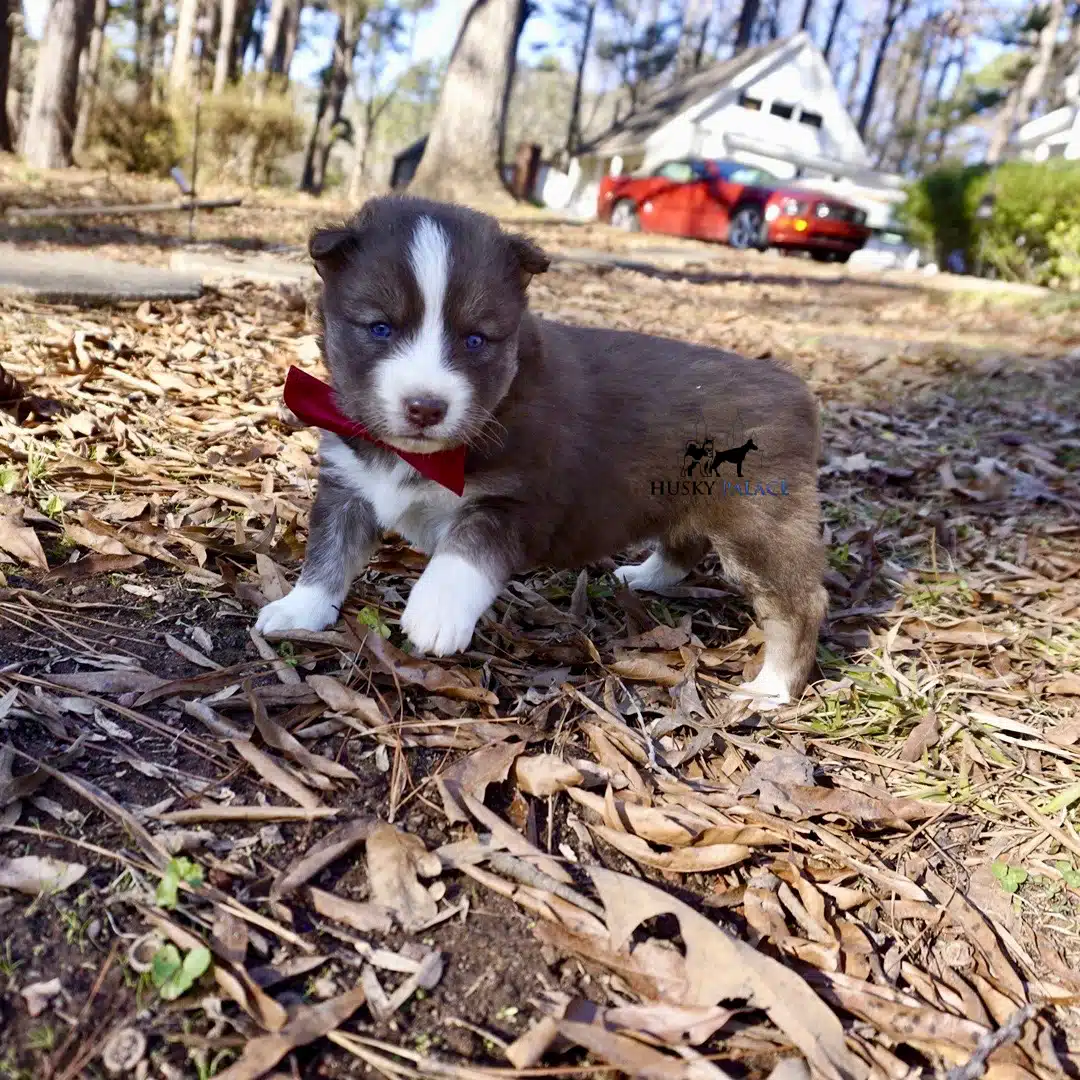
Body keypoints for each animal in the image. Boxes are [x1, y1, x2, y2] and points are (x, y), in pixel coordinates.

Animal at [257, 194, 829, 708]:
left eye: (475, 340)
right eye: (380, 328)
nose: (425, 407)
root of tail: (797, 389)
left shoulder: (516, 502)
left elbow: (465, 550)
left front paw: (436, 611)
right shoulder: (349, 486)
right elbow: (328, 551)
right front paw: (299, 608)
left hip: (760, 529)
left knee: (800, 604)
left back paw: (773, 686)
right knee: (683, 544)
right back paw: (645, 575)